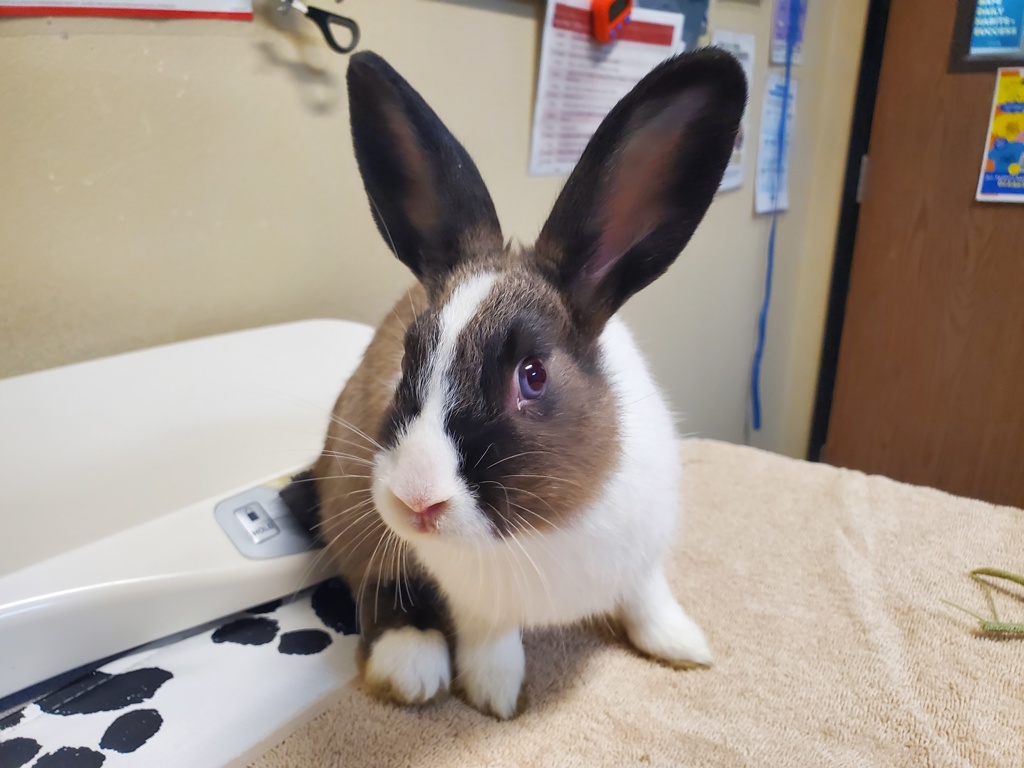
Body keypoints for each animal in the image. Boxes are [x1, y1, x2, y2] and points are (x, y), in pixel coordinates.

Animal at [313, 48, 746, 720]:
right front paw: (496, 697)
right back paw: (412, 667)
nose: (417, 500)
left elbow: (648, 599)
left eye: (533, 376)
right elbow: (491, 639)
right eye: (409, 359)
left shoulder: (643, 559)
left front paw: (683, 646)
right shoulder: (473, 601)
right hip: (353, 510)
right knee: (375, 586)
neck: (546, 525)